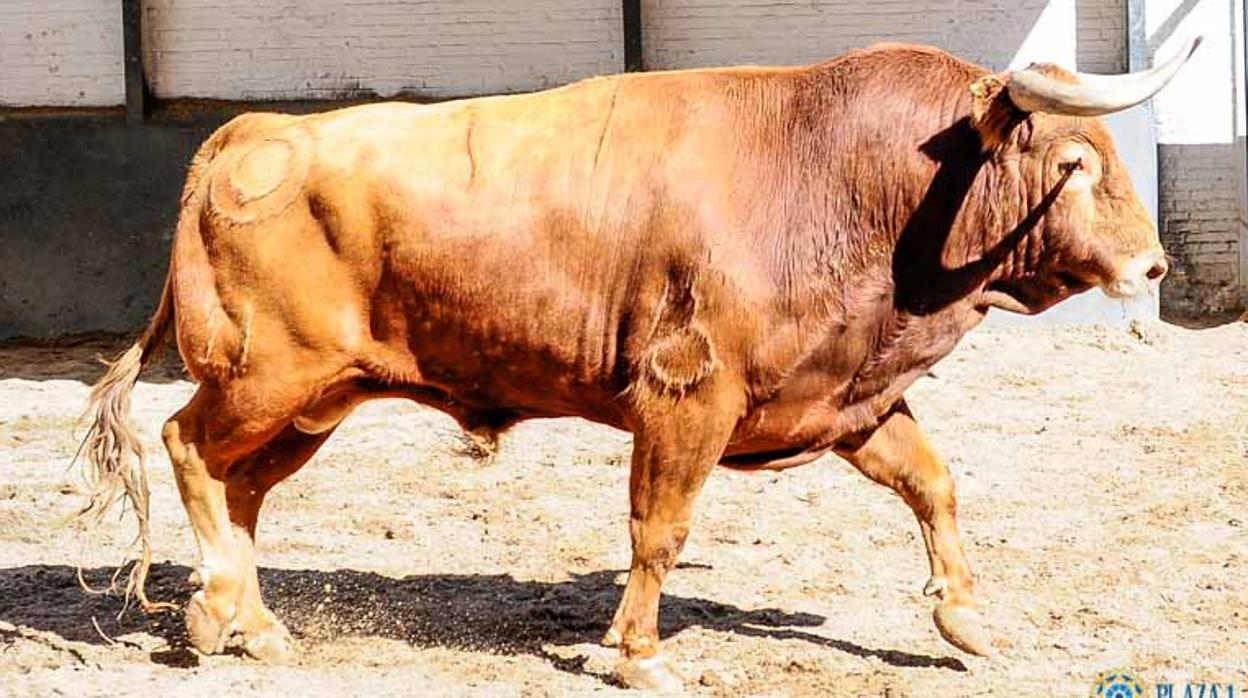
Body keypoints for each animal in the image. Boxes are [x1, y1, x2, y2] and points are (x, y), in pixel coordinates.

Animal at [80, 38, 1198, 689]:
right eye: (1075, 162)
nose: (1151, 264)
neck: (848, 176)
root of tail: (250, 133)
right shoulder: (684, 395)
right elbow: (659, 528)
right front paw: (637, 653)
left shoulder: (843, 395)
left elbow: (932, 481)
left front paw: (964, 617)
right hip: (266, 378)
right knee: (188, 443)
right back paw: (220, 606)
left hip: (320, 398)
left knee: (242, 484)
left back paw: (250, 622)